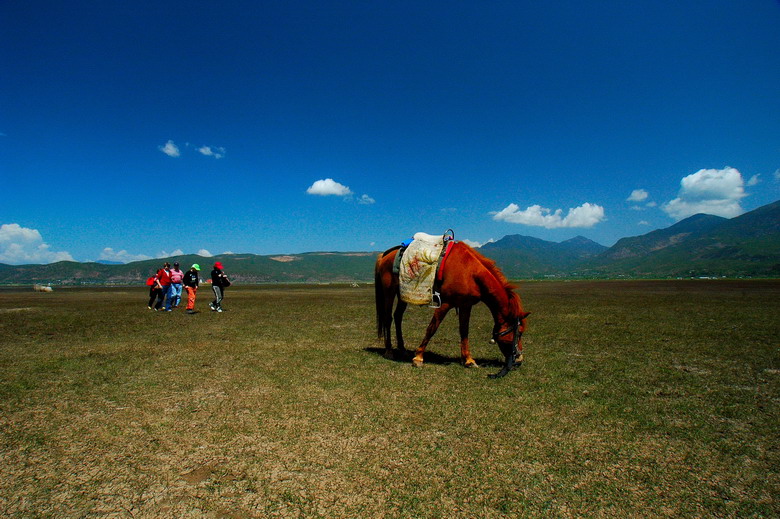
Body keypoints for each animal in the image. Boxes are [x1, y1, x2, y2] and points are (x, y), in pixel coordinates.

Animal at [374, 242, 532, 380]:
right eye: (519, 332)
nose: (519, 359)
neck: (470, 273)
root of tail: (383, 256)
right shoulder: (445, 303)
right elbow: (431, 328)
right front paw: (418, 358)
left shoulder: (465, 305)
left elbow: (464, 331)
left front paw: (468, 360)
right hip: (389, 292)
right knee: (388, 318)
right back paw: (389, 351)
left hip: (404, 295)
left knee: (398, 316)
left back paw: (402, 349)